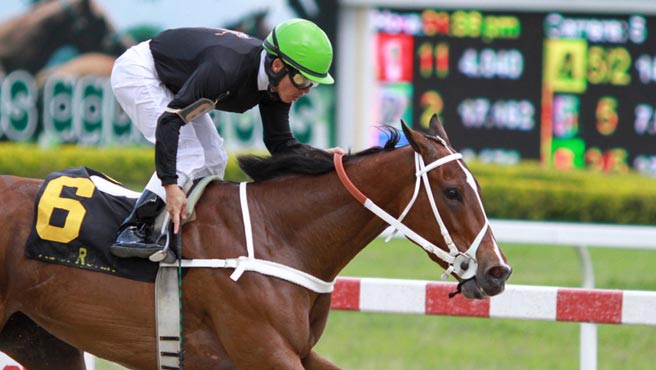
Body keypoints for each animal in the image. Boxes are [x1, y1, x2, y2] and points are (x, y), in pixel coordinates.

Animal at [0, 116, 512, 370]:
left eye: (477, 187)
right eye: (452, 191)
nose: (497, 271)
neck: (279, 236)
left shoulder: (298, 350)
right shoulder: (263, 351)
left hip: (39, 338)